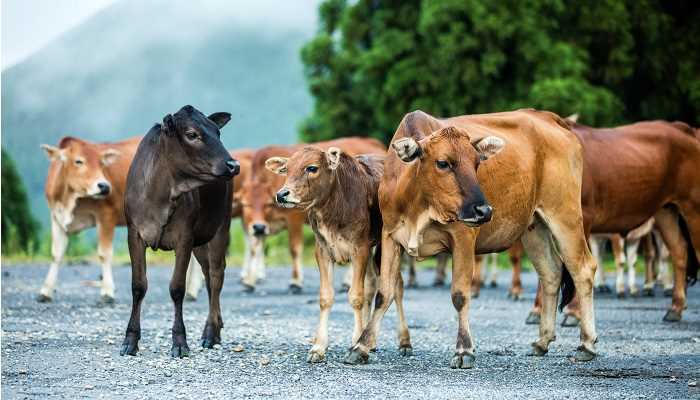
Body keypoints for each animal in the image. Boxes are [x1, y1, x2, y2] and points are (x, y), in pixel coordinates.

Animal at [39, 136, 142, 302]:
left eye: (102, 163)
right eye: (78, 161)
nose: (104, 186)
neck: (69, 199)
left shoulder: (107, 215)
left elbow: (104, 254)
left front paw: (107, 292)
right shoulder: (56, 217)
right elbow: (56, 254)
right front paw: (45, 291)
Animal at [120, 104, 241, 358]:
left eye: (218, 133)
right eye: (192, 134)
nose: (233, 165)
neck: (162, 195)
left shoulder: (184, 236)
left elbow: (177, 288)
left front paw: (179, 342)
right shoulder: (134, 233)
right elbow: (138, 286)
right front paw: (130, 341)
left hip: (220, 227)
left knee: (217, 275)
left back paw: (210, 333)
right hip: (201, 240)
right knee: (207, 274)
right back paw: (216, 327)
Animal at [238, 139, 386, 292]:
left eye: (267, 203)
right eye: (245, 204)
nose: (281, 195)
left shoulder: (294, 219)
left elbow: (294, 248)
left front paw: (296, 281)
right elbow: (254, 248)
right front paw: (250, 281)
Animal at [266, 146, 412, 362]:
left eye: (312, 167)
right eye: (286, 169)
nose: (282, 194)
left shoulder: (360, 249)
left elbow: (356, 297)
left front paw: (355, 343)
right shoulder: (323, 251)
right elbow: (326, 297)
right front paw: (319, 347)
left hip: (388, 245)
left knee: (397, 286)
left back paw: (404, 342)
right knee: (372, 285)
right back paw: (370, 341)